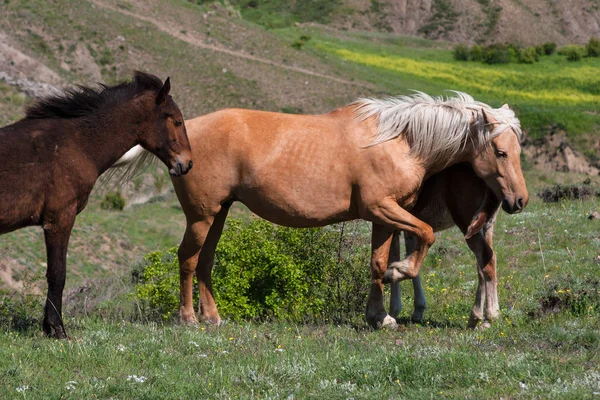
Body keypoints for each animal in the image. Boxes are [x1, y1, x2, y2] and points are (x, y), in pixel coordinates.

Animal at [0, 72, 192, 338]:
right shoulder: (60, 219)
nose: (187, 163)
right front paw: (57, 329)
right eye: (176, 121)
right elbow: (57, 274)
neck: (77, 143)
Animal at [384, 162, 502, 328]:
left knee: (486, 258)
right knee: (483, 264)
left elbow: (392, 258)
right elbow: (411, 258)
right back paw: (476, 318)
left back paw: (488, 318)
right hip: (487, 225)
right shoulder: (412, 230)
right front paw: (418, 310)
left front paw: (392, 311)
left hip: (467, 223)